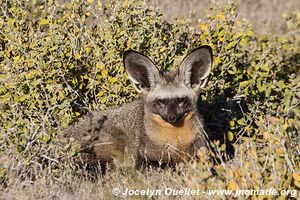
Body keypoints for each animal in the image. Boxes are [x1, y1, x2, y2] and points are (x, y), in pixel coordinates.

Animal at [66, 45, 213, 170]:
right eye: (161, 101)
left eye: (181, 100)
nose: (172, 117)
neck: (175, 140)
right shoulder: (145, 156)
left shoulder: (200, 150)